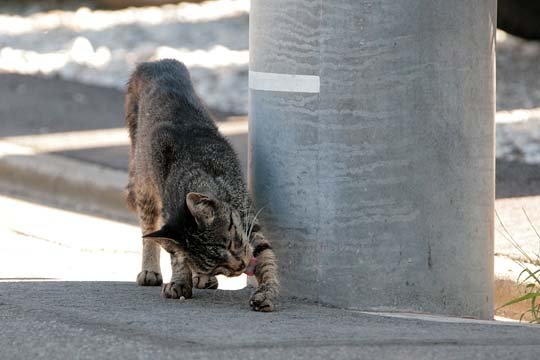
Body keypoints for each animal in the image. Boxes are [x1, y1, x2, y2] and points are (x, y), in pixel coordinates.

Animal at [124, 57, 278, 310]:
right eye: (218, 266)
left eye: (230, 244)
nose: (240, 267)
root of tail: (155, 62)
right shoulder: (169, 219)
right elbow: (176, 254)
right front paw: (180, 280)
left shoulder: (249, 223)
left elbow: (266, 259)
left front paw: (267, 293)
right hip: (144, 185)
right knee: (147, 229)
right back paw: (150, 270)